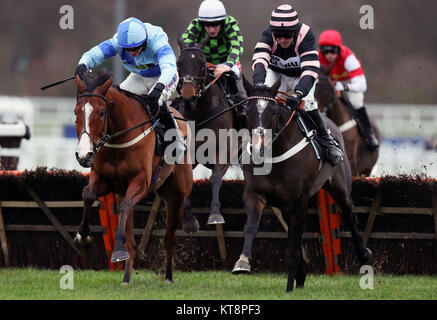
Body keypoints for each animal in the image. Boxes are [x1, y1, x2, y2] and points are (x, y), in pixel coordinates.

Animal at [73, 70, 192, 284]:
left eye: (101, 112)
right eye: (76, 112)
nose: (84, 155)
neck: (119, 137)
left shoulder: (142, 182)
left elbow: (126, 206)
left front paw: (118, 251)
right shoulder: (105, 180)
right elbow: (88, 194)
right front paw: (83, 237)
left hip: (177, 194)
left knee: (169, 237)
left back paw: (168, 276)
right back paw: (126, 277)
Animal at [175, 35, 242, 225]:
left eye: (202, 63)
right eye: (178, 63)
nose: (188, 95)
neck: (201, 112)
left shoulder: (224, 149)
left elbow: (216, 177)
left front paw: (215, 213)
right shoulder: (190, 149)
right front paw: (187, 214)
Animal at [232, 81, 372, 292]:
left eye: (273, 112)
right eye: (246, 112)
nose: (257, 150)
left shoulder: (300, 200)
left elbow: (293, 245)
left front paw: (289, 286)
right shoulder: (254, 194)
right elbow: (251, 227)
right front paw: (242, 262)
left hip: (340, 187)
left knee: (349, 215)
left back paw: (363, 254)